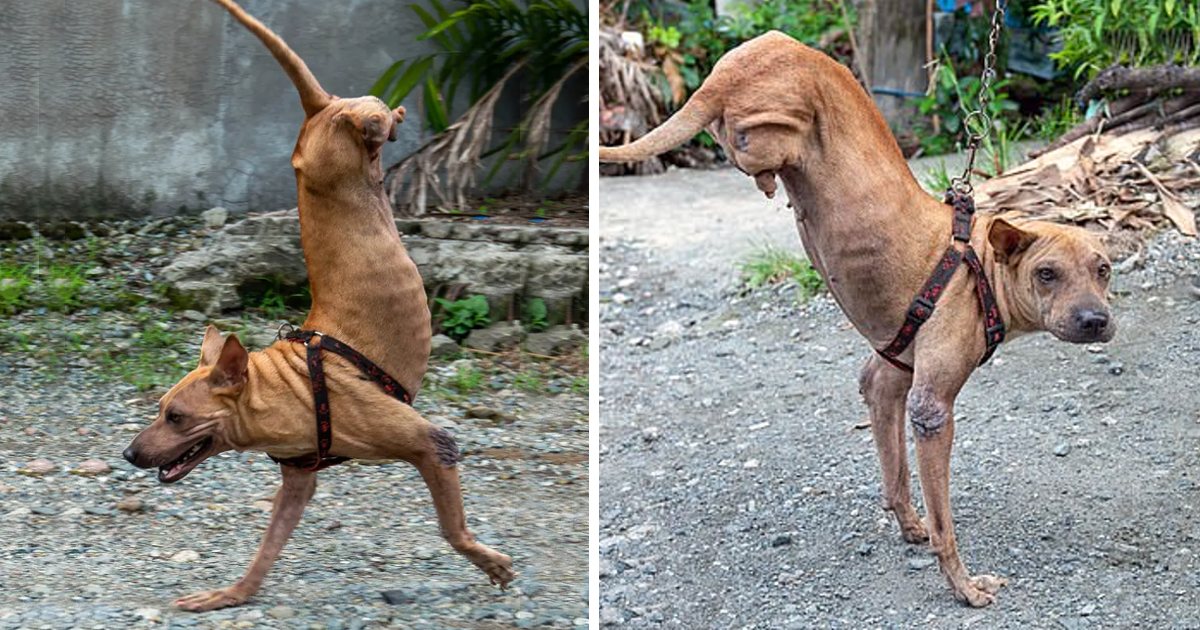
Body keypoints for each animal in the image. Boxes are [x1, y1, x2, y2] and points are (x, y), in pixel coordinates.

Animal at [119, 0, 513, 609]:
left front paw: (490, 562)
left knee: (373, 116)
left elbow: (453, 529)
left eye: (176, 416)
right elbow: (265, 552)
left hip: (350, 130)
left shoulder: (432, 445)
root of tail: (320, 108)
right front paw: (229, 595)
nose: (130, 455)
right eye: (160, 408)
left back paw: (390, 117)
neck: (288, 391)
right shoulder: (298, 481)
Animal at [600, 31, 1113, 607]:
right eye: (1047, 274)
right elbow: (945, 522)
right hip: (786, 120)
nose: (1095, 320)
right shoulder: (931, 409)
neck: (981, 264)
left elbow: (895, 475)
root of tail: (728, 73)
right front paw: (962, 584)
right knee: (748, 147)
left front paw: (910, 525)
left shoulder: (887, 379)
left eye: (1104, 270)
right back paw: (766, 178)